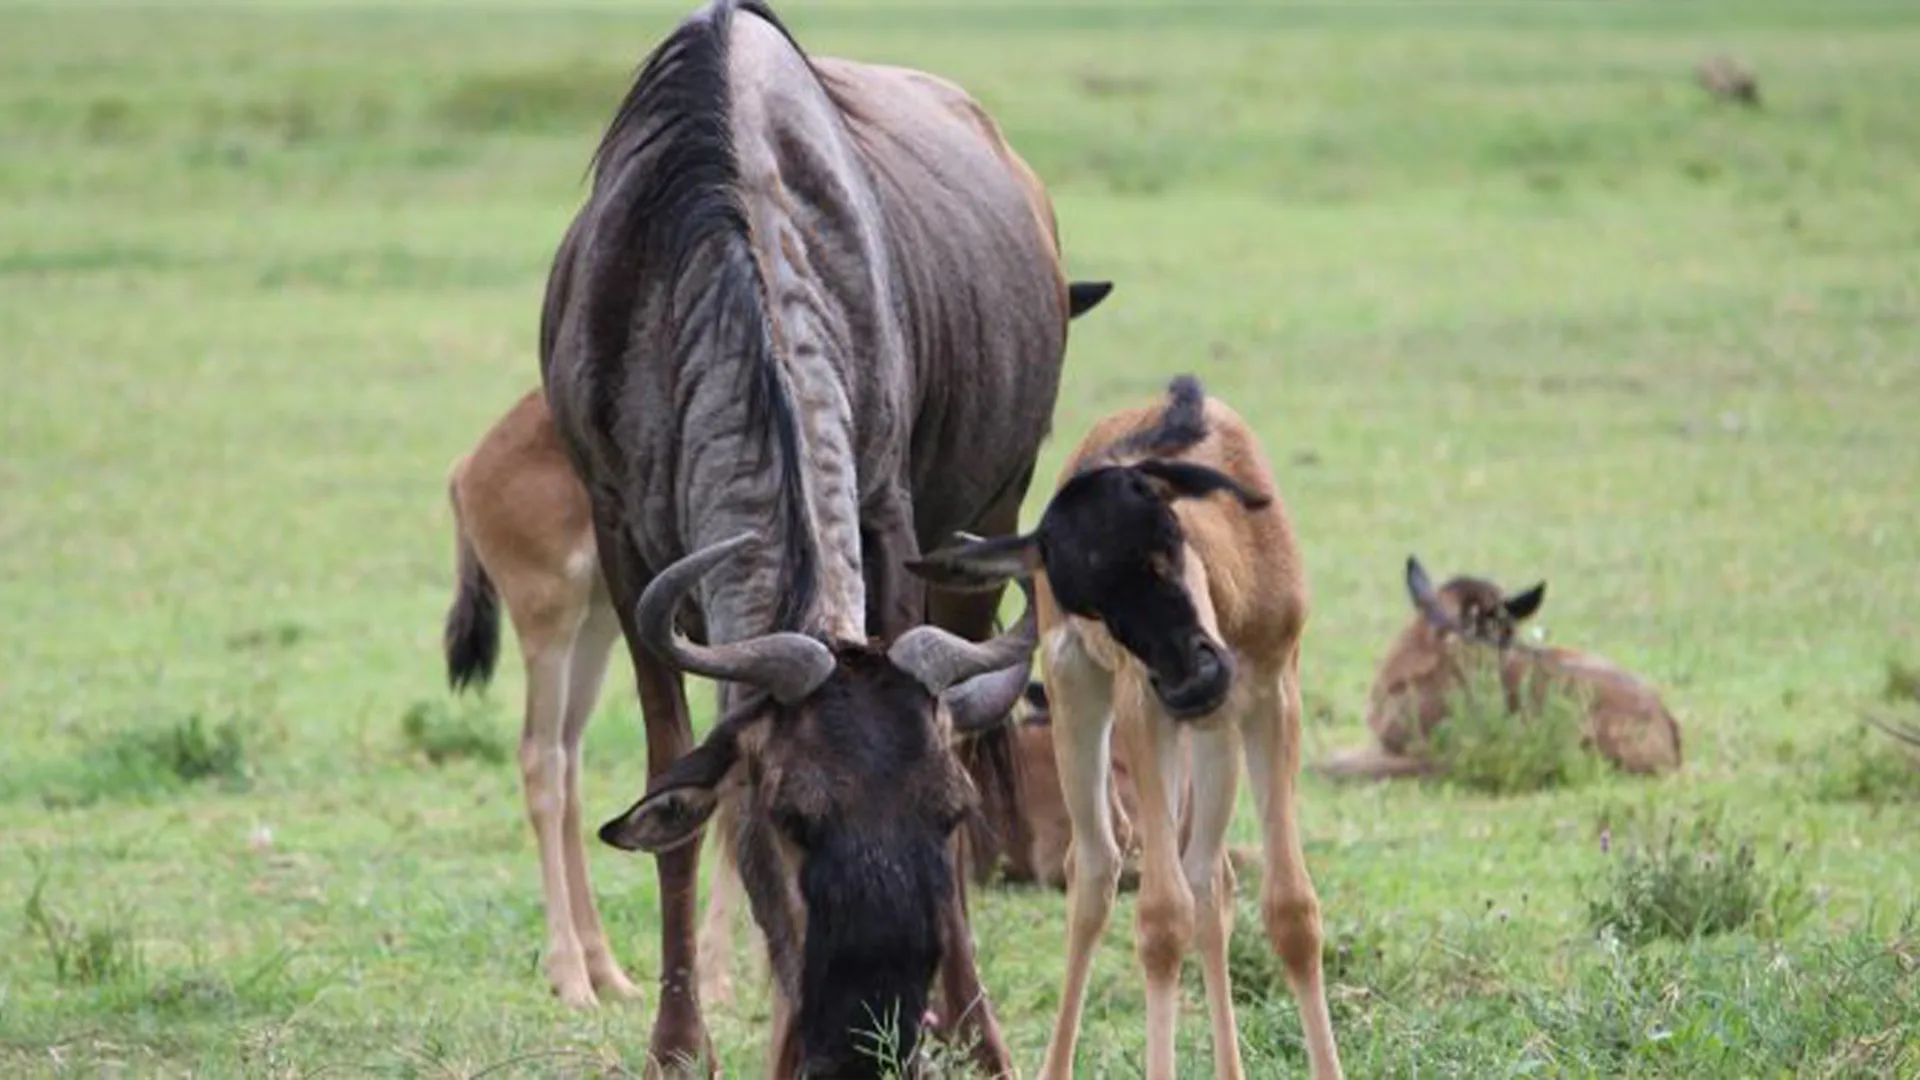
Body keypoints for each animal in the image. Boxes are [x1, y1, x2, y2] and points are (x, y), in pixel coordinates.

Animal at [909, 375, 1345, 1080]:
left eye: (1165, 540)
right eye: (1091, 601)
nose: (1192, 680)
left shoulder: (1275, 698)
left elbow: (1291, 910)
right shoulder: (1145, 710)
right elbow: (1162, 919)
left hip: (1216, 736)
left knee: (1210, 879)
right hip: (1082, 702)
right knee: (1095, 872)